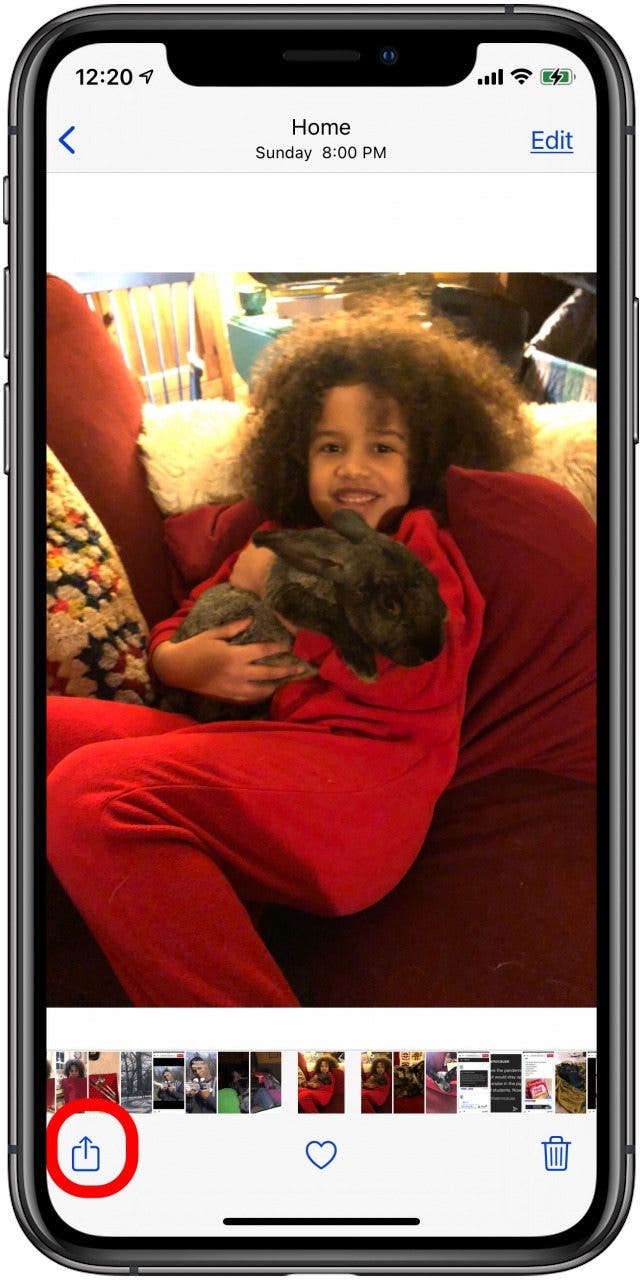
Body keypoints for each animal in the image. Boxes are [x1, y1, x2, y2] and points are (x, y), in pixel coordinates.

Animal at [160, 508, 447, 723]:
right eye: (389, 604)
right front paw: (364, 666)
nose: (432, 653)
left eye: (435, 581)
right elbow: (329, 614)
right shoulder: (286, 596)